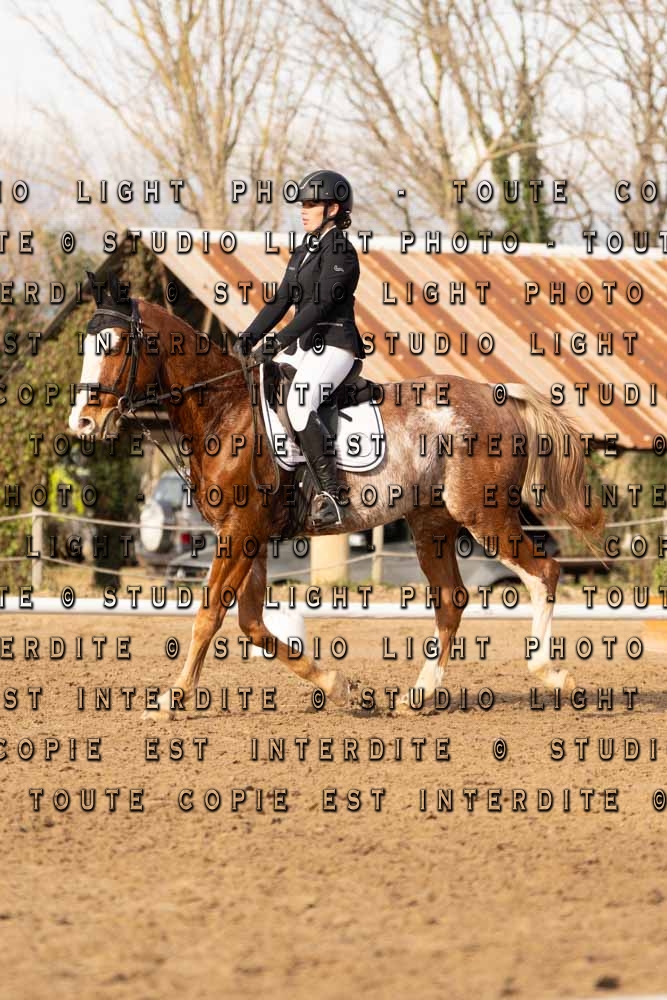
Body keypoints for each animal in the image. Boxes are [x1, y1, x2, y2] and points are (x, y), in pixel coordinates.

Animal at [68, 282, 603, 717]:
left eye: (117, 346)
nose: (83, 422)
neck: (223, 409)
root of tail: (499, 396)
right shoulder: (248, 535)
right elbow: (252, 624)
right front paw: (341, 686)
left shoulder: (240, 531)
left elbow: (210, 615)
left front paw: (169, 699)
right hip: (432, 523)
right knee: (452, 599)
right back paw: (418, 696)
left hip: (484, 515)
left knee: (543, 572)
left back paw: (552, 673)